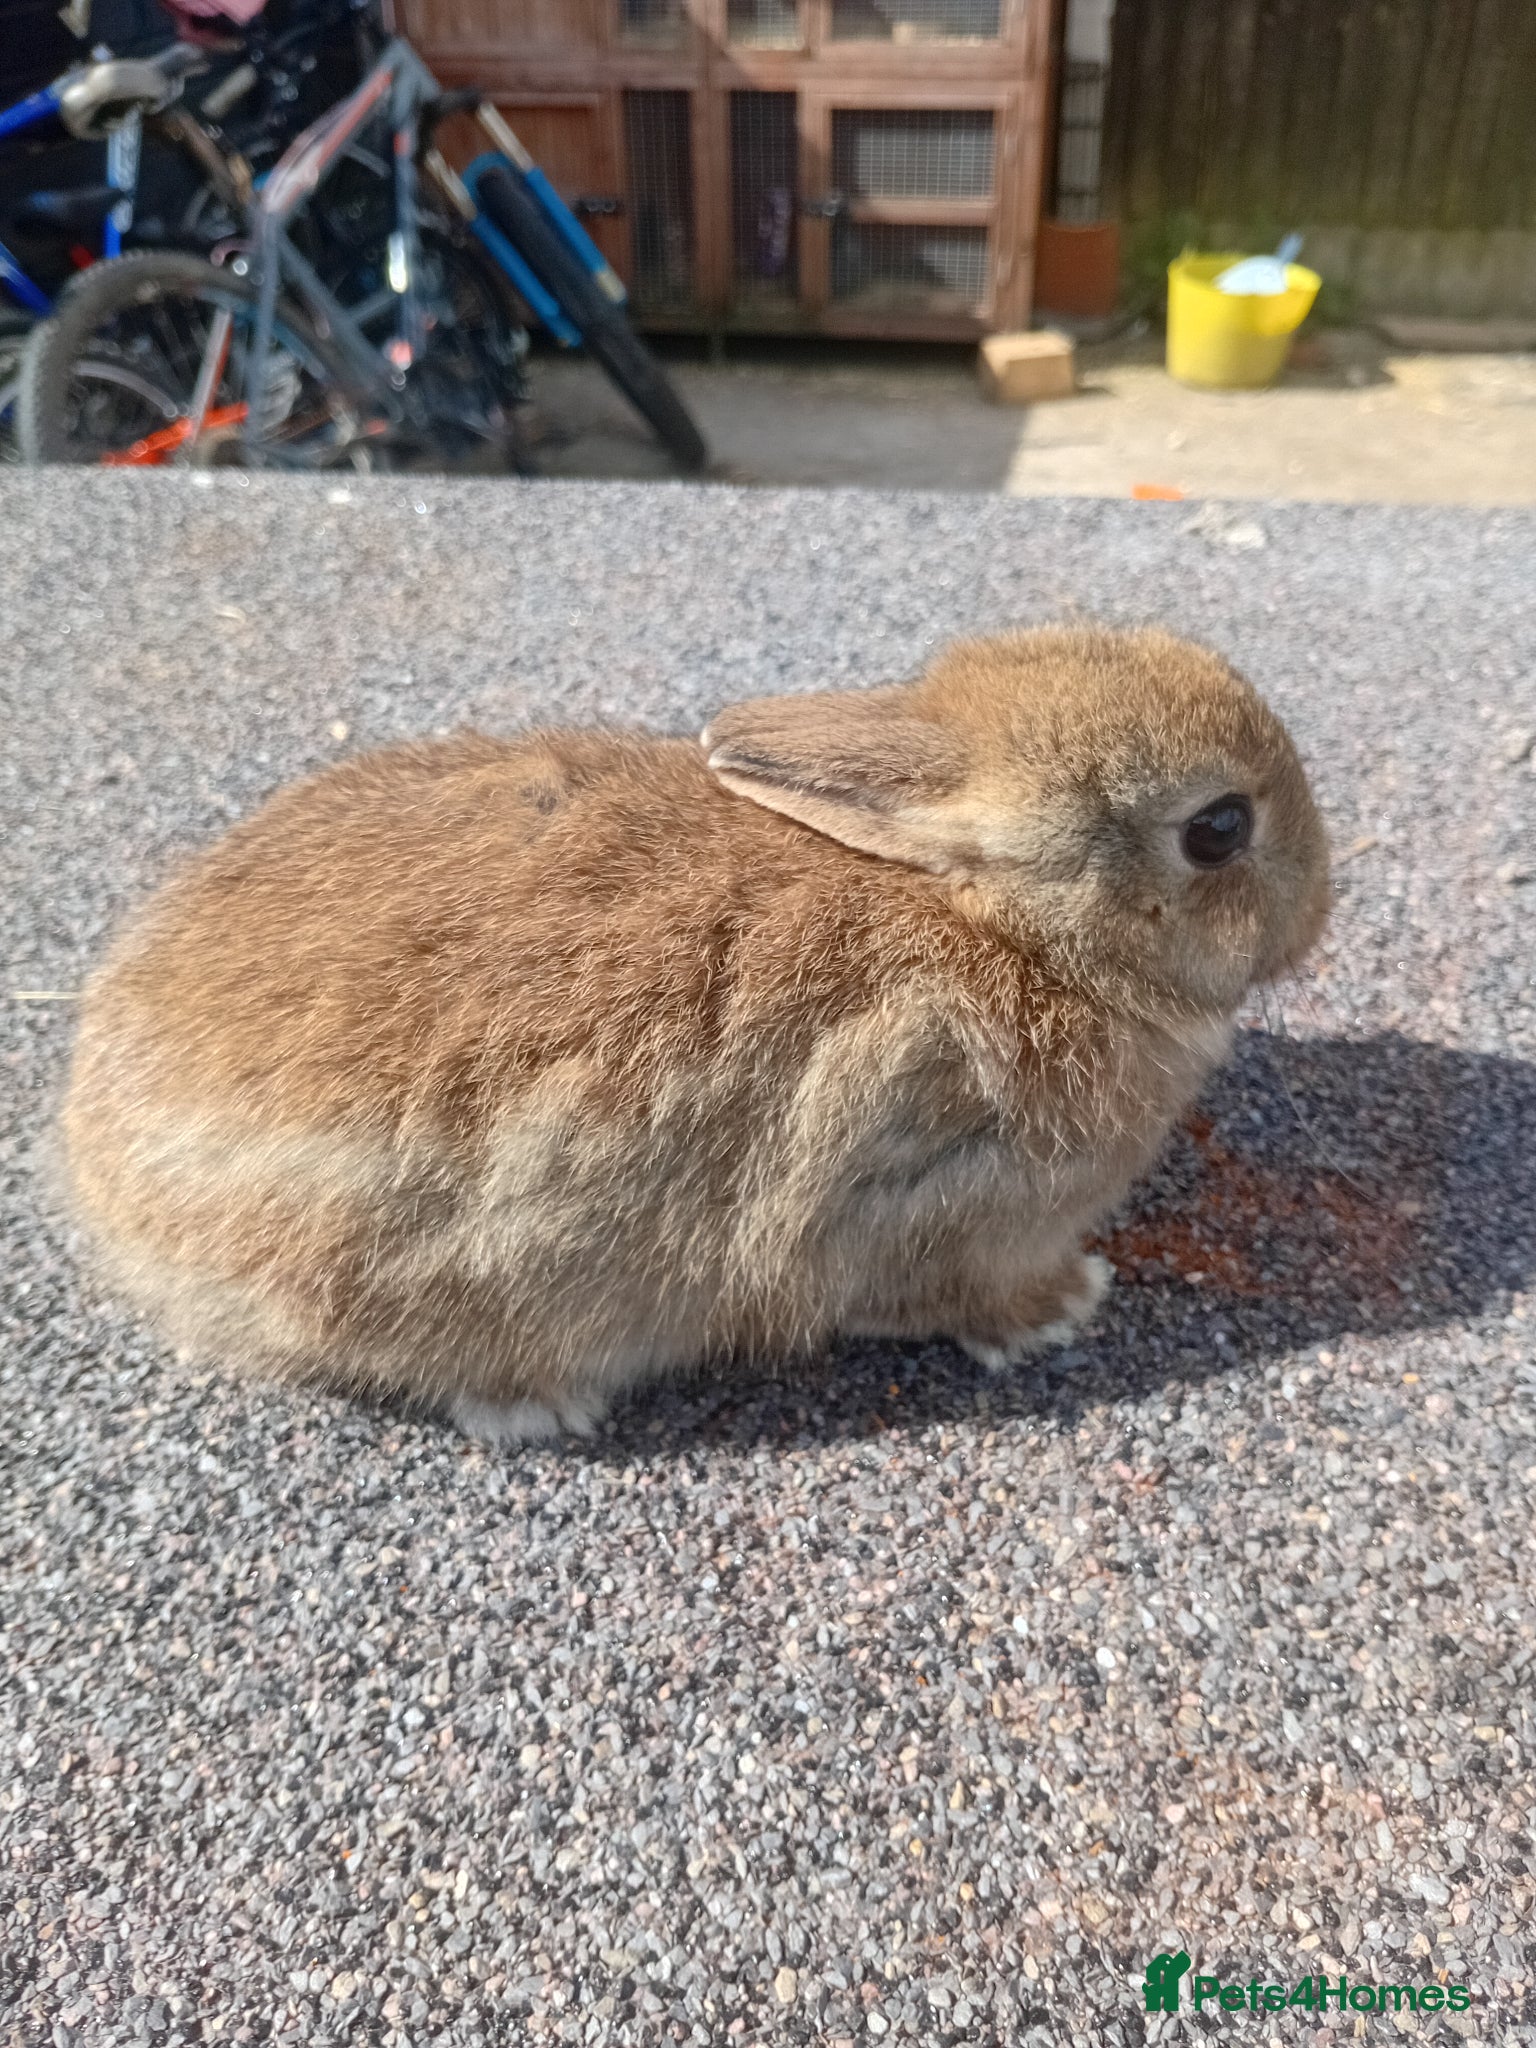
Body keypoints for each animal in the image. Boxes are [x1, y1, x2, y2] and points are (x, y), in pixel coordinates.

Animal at [61, 626, 1329, 1443]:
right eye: (1219, 828)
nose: (1317, 913)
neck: (1003, 922)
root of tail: (99, 1165)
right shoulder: (917, 1181)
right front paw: (1065, 1307)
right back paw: (541, 1405)